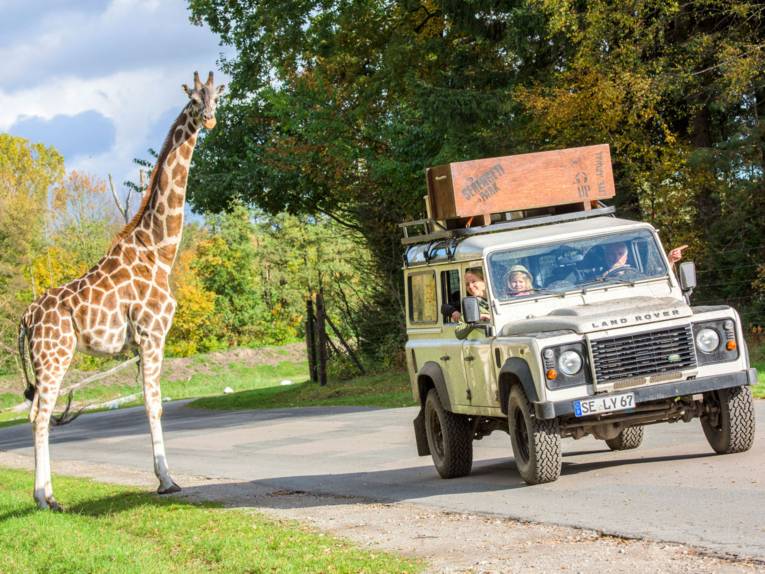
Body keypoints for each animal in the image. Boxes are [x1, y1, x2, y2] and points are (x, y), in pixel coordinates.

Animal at [17, 71, 224, 508]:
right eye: (194, 99)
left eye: (218, 95)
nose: (210, 119)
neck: (160, 249)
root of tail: (25, 319)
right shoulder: (152, 333)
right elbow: (154, 405)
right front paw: (167, 481)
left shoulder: (143, 341)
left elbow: (151, 403)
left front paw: (164, 477)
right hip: (54, 356)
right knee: (41, 414)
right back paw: (45, 498)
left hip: (48, 360)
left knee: (36, 413)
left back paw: (47, 495)